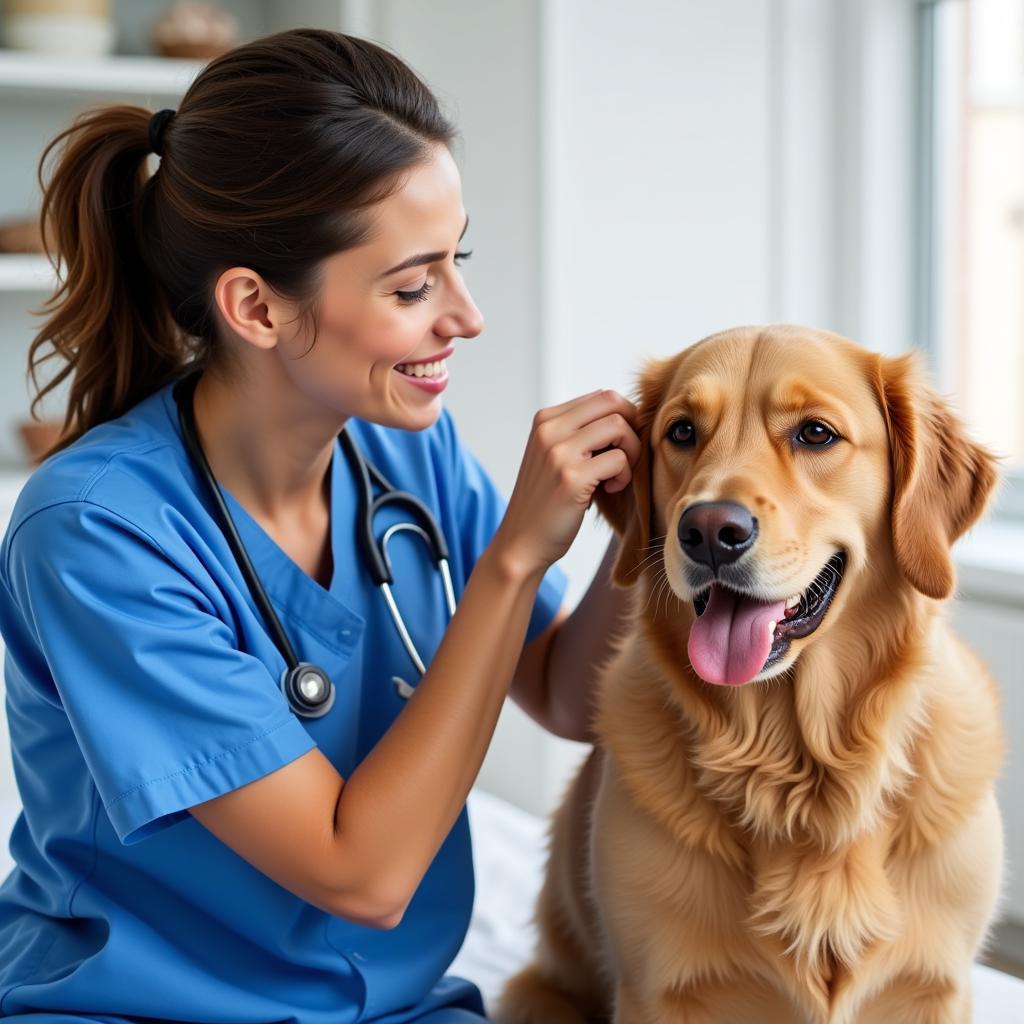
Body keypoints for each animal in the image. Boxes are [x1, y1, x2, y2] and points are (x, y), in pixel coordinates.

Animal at [499, 327, 1003, 1024]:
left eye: (815, 433)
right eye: (682, 432)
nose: (710, 531)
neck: (801, 774)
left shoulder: (935, 989)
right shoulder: (657, 991)